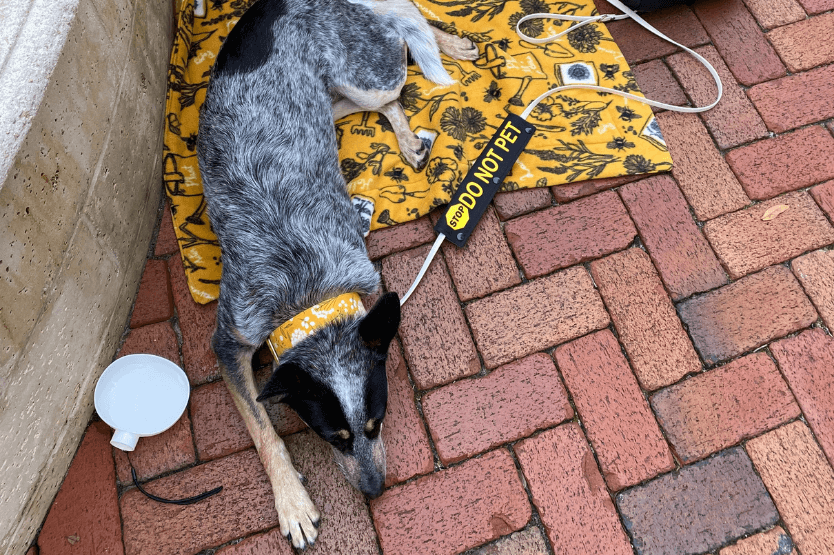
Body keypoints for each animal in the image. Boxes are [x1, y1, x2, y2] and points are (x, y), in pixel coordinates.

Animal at [195, 0, 478, 548]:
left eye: (377, 423)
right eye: (334, 437)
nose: (375, 491)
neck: (305, 292)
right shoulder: (229, 341)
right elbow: (263, 430)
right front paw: (292, 502)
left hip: (367, 76)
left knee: (401, 45)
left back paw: (441, 57)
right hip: (337, 95)